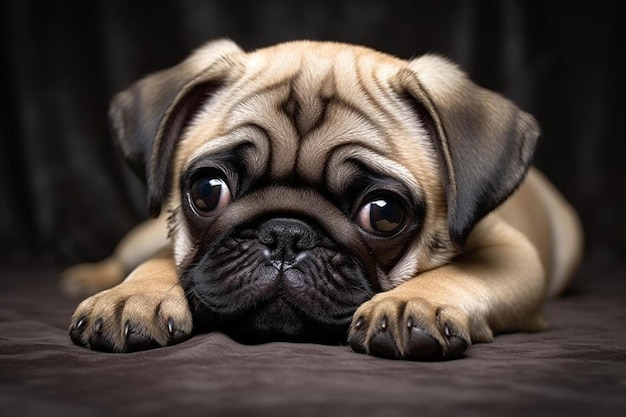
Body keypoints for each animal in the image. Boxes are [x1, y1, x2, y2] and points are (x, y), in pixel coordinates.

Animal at [62, 39, 580, 358]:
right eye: (207, 191)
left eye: (384, 214)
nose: (285, 234)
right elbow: (162, 259)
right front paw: (132, 295)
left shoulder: (513, 255)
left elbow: (460, 273)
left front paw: (412, 302)